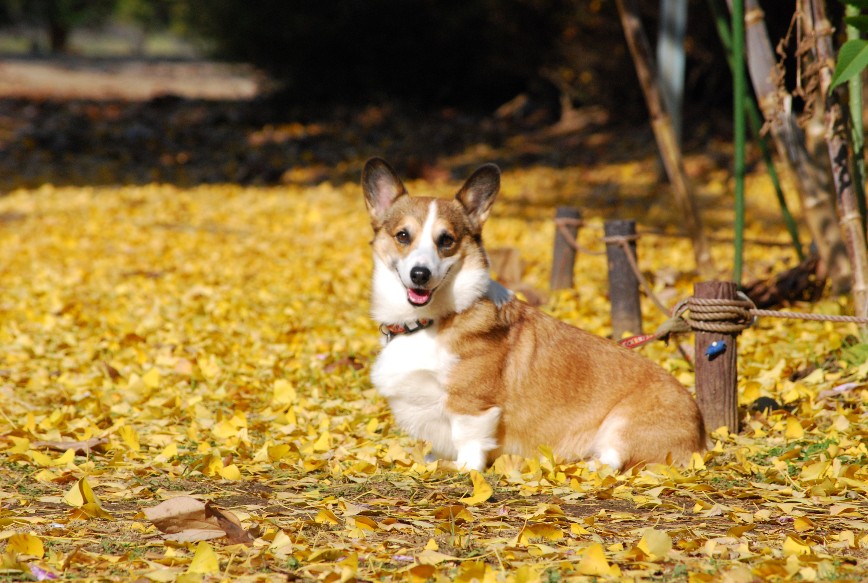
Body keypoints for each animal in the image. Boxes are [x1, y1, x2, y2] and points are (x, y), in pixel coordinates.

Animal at [360, 157, 704, 472]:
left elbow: (468, 440)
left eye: (446, 240)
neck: (431, 320)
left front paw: (463, 468)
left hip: (622, 425)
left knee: (613, 460)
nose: (420, 275)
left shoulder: (471, 404)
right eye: (403, 236)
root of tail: (700, 436)